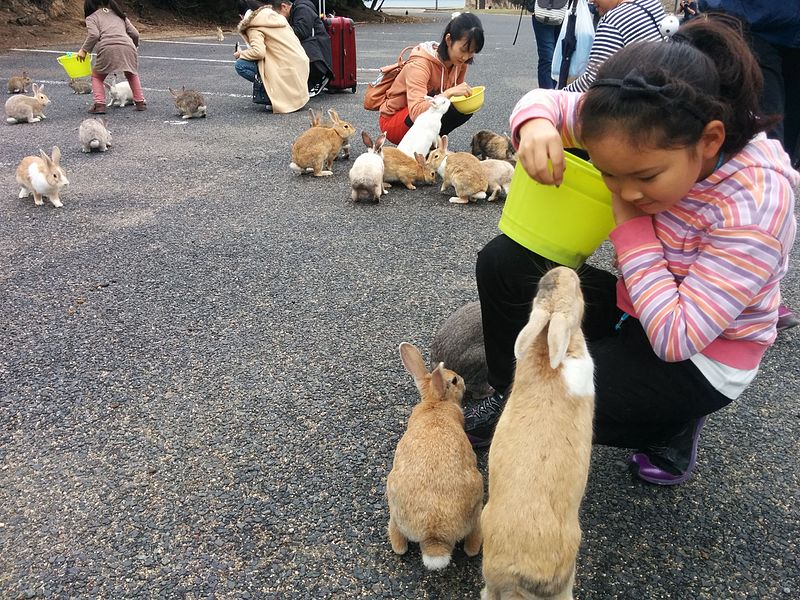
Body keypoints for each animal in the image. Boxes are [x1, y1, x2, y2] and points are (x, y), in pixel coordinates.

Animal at [386, 344, 484, 568]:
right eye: (454, 380)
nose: (462, 381)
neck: (435, 402)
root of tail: (434, 537)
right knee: (472, 545)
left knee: (399, 546)